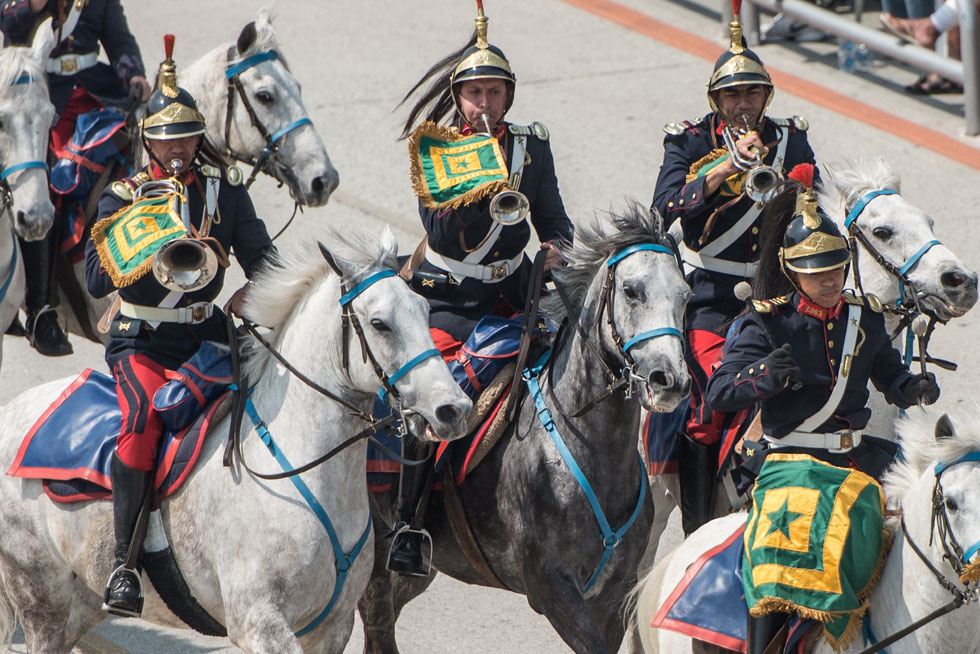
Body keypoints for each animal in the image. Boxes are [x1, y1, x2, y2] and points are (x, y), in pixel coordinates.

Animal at [0, 227, 470, 654]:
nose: (453, 409)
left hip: (80, 603)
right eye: (379, 324)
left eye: (425, 310)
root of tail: (11, 413)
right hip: (41, 599)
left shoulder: (331, 630)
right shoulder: (259, 624)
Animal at [360, 206, 688, 654]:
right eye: (632, 291)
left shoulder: (613, 593)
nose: (669, 380)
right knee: (375, 616)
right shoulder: (553, 590)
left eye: (685, 295)